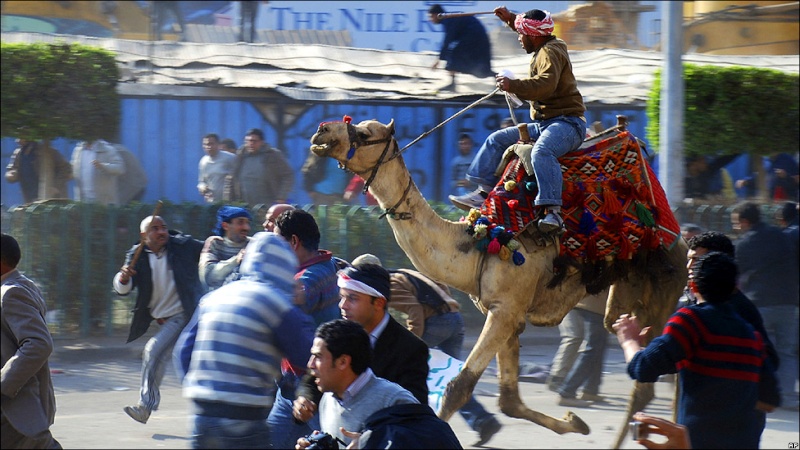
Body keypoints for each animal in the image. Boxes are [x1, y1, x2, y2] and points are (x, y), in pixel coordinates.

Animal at [310, 118, 684, 444]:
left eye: (362, 132)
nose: (321, 131)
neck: (482, 241)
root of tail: (681, 238)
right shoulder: (506, 313)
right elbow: (509, 400)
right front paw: (575, 423)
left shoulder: (505, 310)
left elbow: (458, 388)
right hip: (623, 301)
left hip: (658, 293)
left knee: (651, 380)